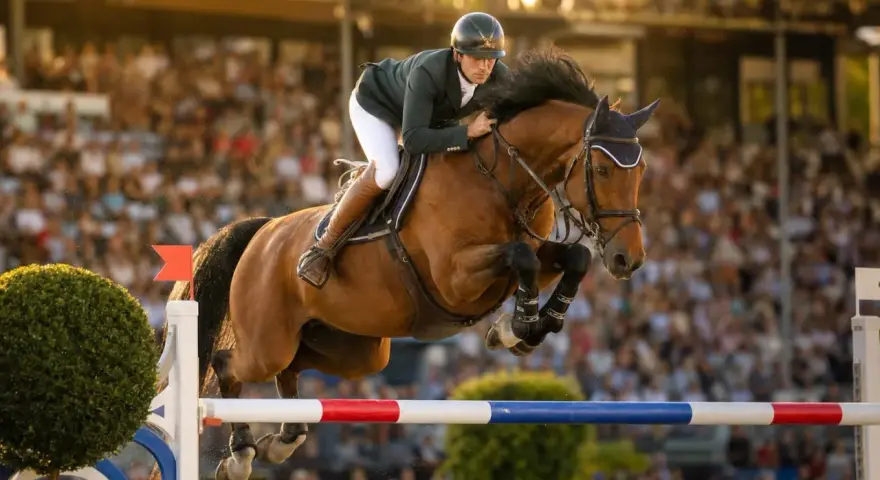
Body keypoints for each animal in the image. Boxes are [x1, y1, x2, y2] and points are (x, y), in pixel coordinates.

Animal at [167, 47, 659, 480]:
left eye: (641, 171)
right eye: (603, 170)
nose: (628, 259)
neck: (501, 180)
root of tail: (264, 230)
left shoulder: (532, 251)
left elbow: (573, 257)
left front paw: (526, 329)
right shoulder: (456, 277)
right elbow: (522, 260)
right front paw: (517, 326)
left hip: (354, 350)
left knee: (291, 369)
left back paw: (283, 441)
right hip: (268, 339)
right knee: (230, 365)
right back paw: (242, 454)